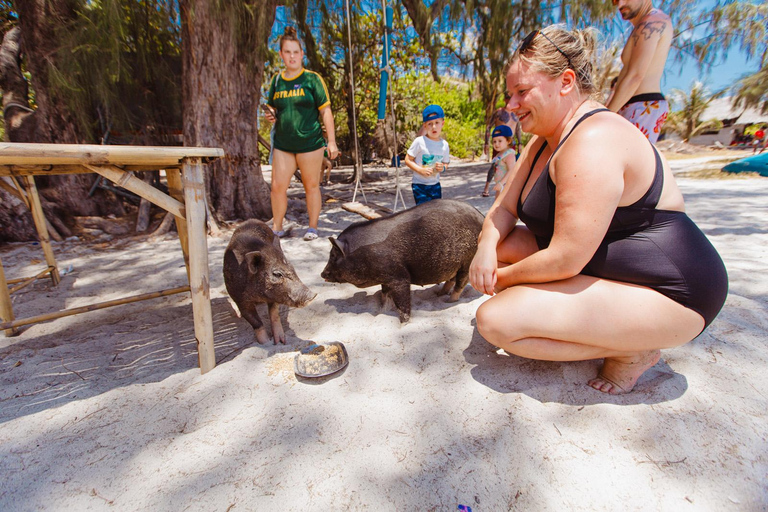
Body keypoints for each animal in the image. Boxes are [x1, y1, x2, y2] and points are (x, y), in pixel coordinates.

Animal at [320, 199, 484, 322]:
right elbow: (384, 293)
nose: (322, 274)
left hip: (468, 261)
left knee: (461, 282)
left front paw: (404, 322)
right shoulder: (385, 278)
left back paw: (450, 301)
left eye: (333, 256)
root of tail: (482, 217)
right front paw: (382, 308)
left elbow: (403, 301)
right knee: (450, 279)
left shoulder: (399, 276)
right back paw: (439, 294)